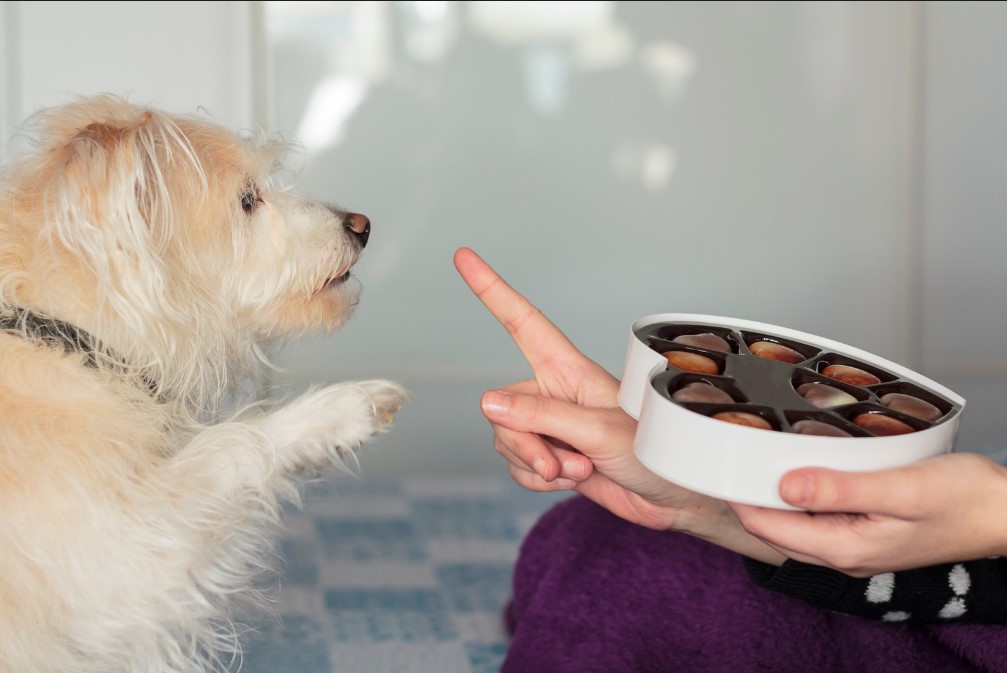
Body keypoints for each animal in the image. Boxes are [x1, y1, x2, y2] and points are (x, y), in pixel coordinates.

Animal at [0, 95, 408, 673]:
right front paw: (341, 409)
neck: (67, 336)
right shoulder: (120, 557)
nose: (362, 224)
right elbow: (230, 444)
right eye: (247, 200)